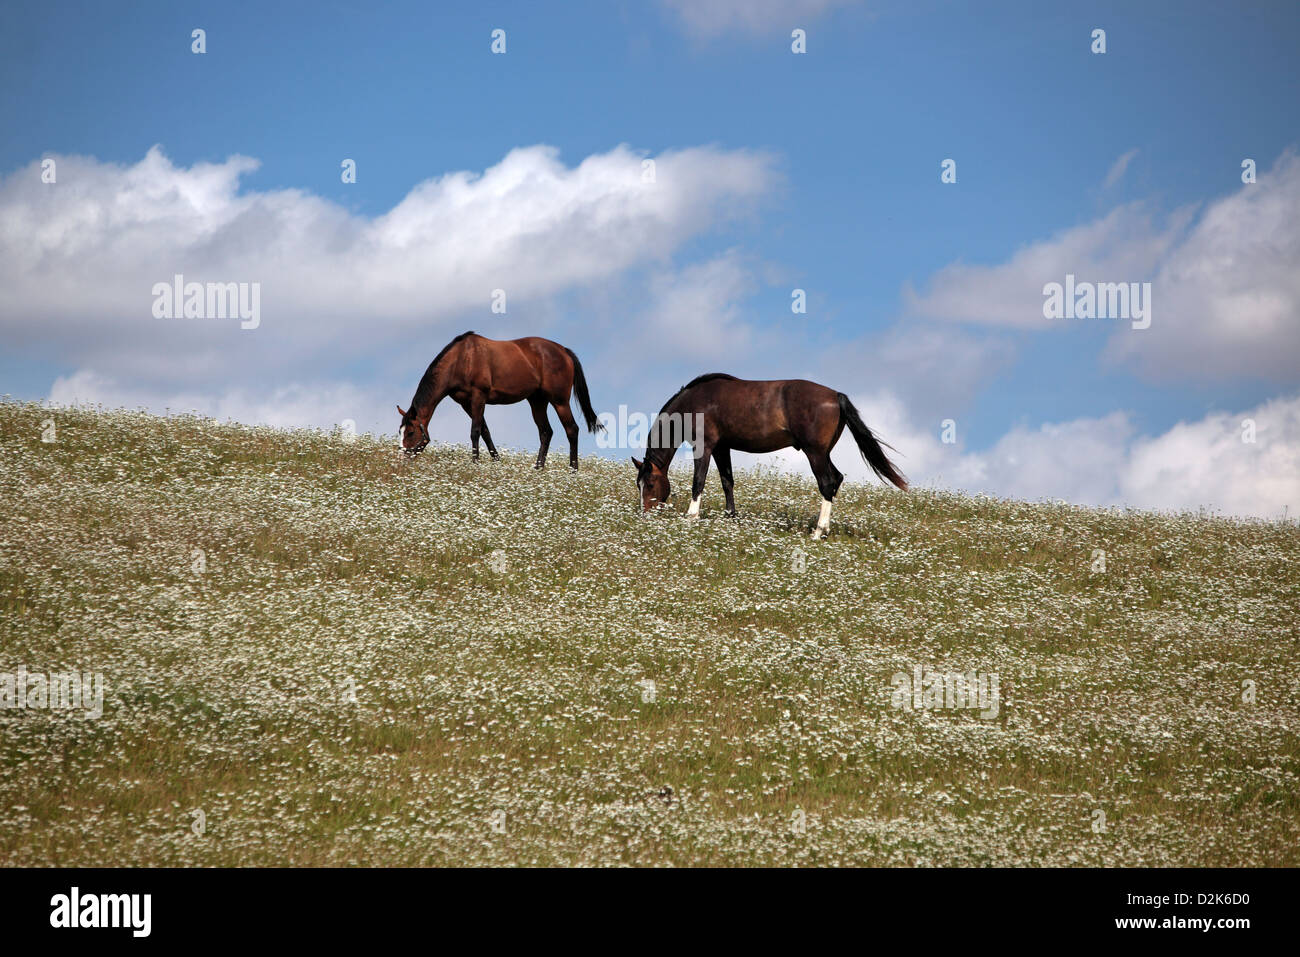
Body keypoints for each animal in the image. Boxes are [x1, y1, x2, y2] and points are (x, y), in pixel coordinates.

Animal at [395, 330, 603, 468]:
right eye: (400, 431)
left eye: (411, 432)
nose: (402, 460)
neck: (462, 359)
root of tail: (564, 351)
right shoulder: (466, 403)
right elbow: (485, 431)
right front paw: (496, 462)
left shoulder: (479, 396)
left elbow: (475, 431)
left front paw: (475, 463)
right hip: (537, 401)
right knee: (546, 432)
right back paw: (538, 469)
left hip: (559, 401)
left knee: (572, 429)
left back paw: (573, 470)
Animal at [629, 374, 904, 538]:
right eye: (638, 485)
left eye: (650, 484)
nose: (645, 515)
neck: (696, 402)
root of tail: (835, 395)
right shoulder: (722, 448)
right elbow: (727, 482)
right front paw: (731, 518)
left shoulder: (704, 446)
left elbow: (698, 482)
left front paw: (691, 518)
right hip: (823, 453)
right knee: (836, 479)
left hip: (815, 453)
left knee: (827, 483)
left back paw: (817, 532)